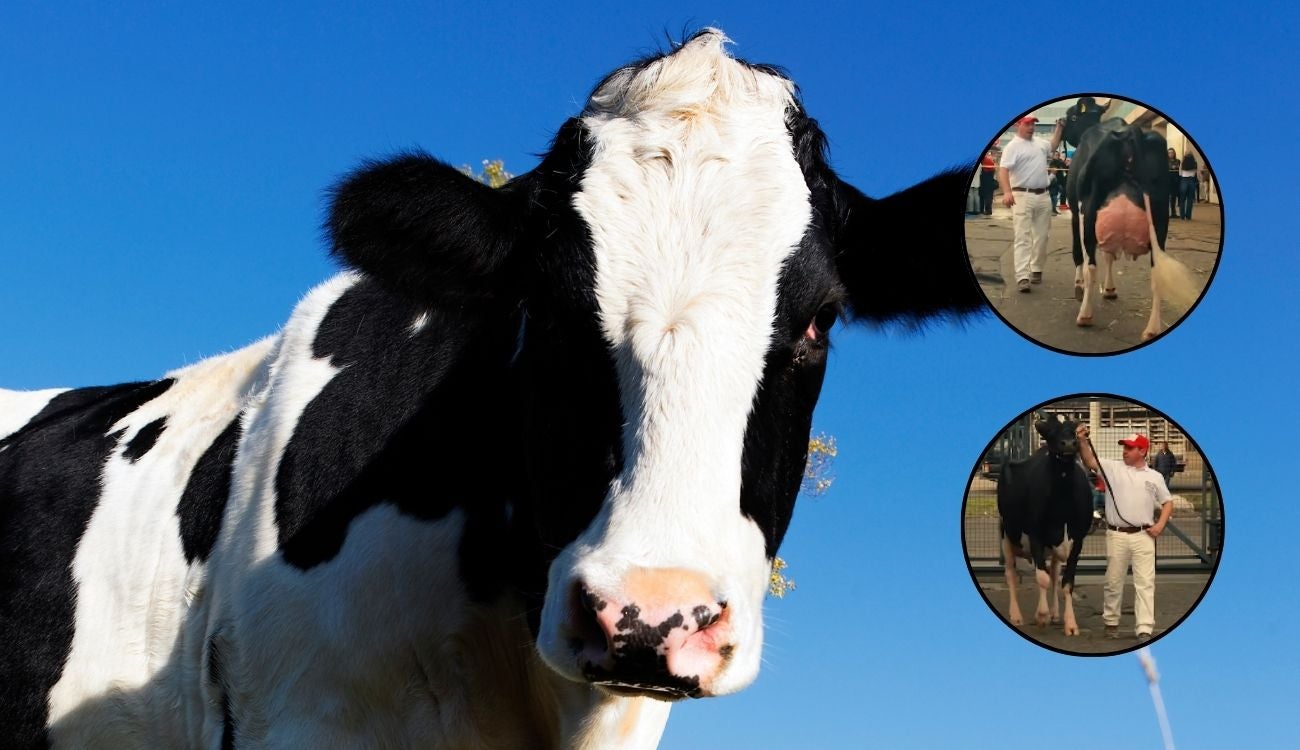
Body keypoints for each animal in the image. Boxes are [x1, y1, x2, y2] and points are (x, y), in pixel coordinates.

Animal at [996, 414, 1094, 636]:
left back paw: (1055, 613)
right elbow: (1042, 578)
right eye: (1050, 431)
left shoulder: (1078, 540)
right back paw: (1016, 615)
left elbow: (1066, 582)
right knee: (1011, 574)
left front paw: (1070, 624)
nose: (1069, 444)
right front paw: (1041, 616)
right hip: (1006, 534)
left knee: (1055, 572)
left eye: (1074, 430)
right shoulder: (1035, 535)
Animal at [1062, 96, 1198, 341]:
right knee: (1156, 273)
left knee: (1091, 265)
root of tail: (1130, 131)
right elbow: (1109, 255)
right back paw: (1152, 329)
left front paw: (1078, 287)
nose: (1061, 125)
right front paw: (1110, 289)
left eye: (1072, 116)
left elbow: (1079, 253)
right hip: (1160, 216)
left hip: (1089, 207)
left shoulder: (1075, 210)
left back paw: (1085, 315)